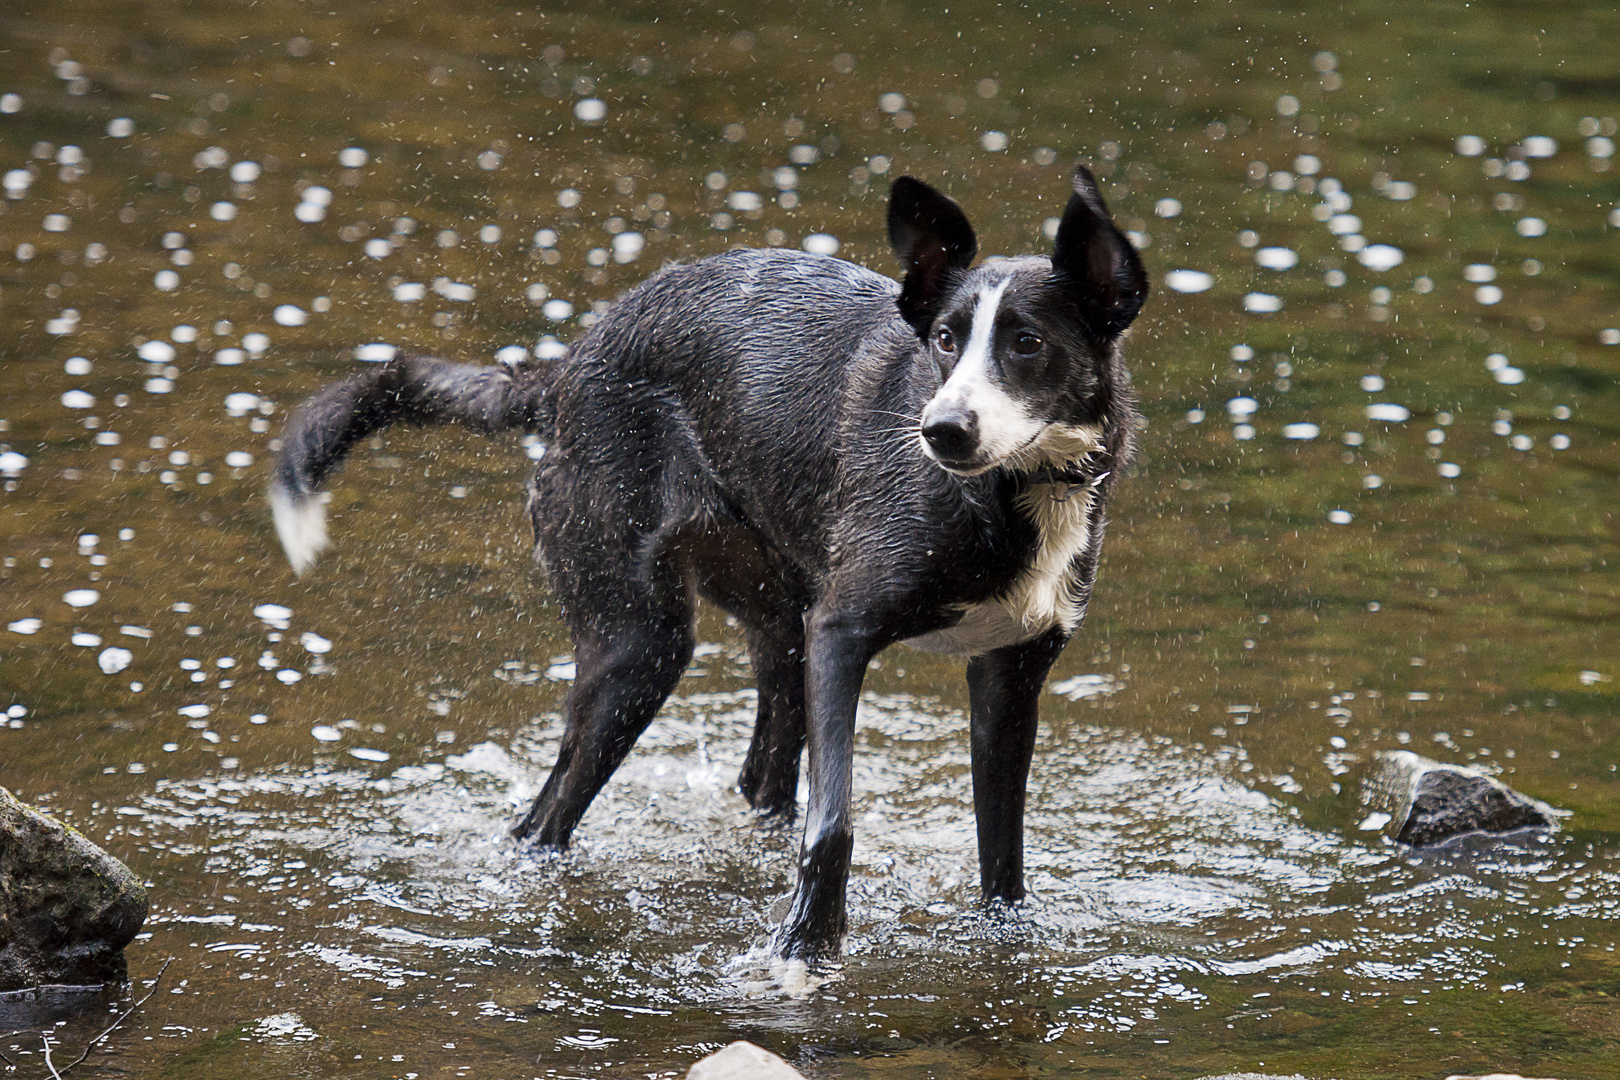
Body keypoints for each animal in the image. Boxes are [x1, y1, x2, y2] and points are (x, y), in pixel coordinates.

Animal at [272, 162, 1146, 965]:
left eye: (1027, 343)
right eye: (943, 340)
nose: (942, 430)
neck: (1012, 492)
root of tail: (570, 366)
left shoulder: (1010, 674)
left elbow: (1003, 855)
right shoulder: (842, 633)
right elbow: (835, 823)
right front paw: (803, 952)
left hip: (774, 627)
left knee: (761, 781)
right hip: (640, 649)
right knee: (545, 820)